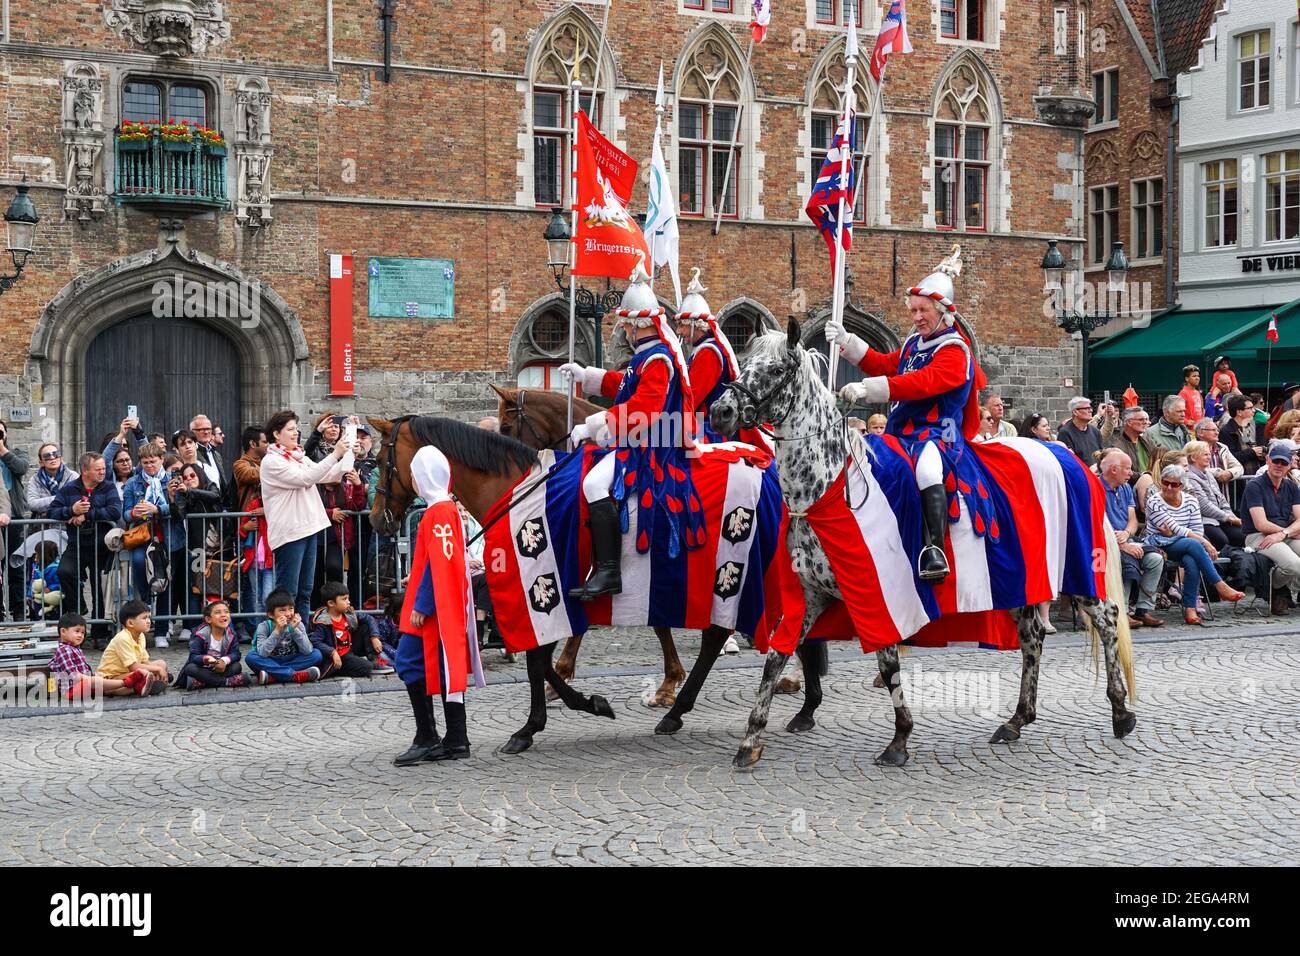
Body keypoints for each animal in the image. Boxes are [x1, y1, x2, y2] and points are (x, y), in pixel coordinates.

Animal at [707, 321, 1133, 770]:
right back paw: (1017, 719)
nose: (720, 413)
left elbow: (887, 662)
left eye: (774, 369)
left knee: (1107, 620)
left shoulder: (880, 594)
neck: (833, 484)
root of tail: (1070, 458)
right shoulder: (807, 597)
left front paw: (899, 740)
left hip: (1076, 570)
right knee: (1032, 637)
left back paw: (1120, 711)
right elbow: (775, 658)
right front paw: (751, 739)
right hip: (1023, 580)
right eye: (745, 359)